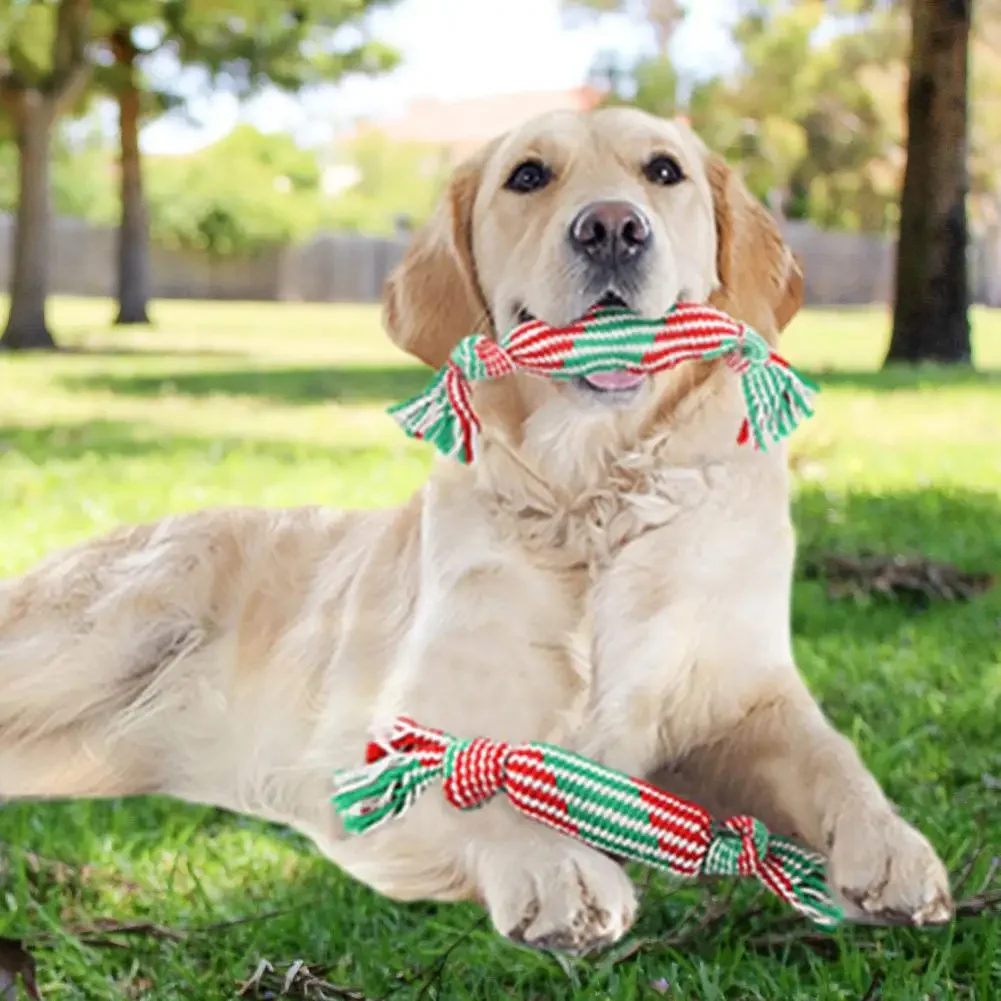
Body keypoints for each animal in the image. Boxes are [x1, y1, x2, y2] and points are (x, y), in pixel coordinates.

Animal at [1, 109, 952, 952]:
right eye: (527, 176)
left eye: (663, 170)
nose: (612, 228)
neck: (592, 495)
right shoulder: (382, 744)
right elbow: (475, 786)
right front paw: (561, 870)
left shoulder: (745, 702)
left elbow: (833, 760)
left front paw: (890, 847)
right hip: (104, 639)